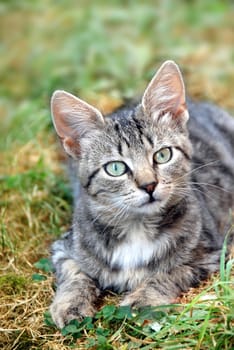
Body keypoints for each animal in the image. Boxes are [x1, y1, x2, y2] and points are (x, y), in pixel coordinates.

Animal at [48, 60, 233, 328]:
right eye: (115, 168)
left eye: (163, 155)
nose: (149, 185)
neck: (136, 227)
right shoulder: (65, 247)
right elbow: (74, 274)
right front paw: (71, 303)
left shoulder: (212, 254)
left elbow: (171, 272)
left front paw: (142, 299)